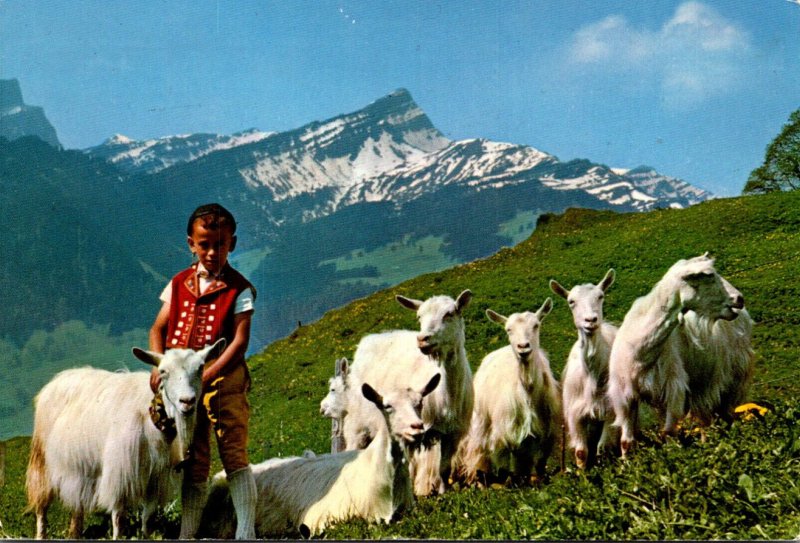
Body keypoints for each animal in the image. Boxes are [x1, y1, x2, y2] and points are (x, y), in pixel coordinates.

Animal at [26, 340, 223, 540]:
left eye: (200, 367)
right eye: (163, 371)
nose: (187, 401)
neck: (151, 419)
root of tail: (56, 379)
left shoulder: (156, 478)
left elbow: (149, 518)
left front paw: (146, 535)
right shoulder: (120, 475)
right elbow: (119, 518)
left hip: (81, 467)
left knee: (77, 504)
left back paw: (75, 533)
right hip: (42, 461)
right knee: (42, 504)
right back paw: (41, 534)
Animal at [342, 294, 476, 498]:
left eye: (449, 314)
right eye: (419, 317)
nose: (422, 339)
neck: (447, 393)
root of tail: (370, 339)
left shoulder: (452, 433)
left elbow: (444, 468)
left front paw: (443, 492)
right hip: (358, 423)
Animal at [454, 300, 560, 486]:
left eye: (536, 325)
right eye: (508, 329)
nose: (523, 347)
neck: (528, 392)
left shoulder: (546, 434)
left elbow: (536, 465)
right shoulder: (503, 433)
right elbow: (504, 467)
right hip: (483, 419)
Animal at [552, 270, 620, 470]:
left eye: (600, 296)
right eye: (571, 301)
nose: (591, 320)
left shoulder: (610, 409)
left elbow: (603, 449)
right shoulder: (576, 414)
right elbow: (581, 452)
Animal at [608, 255, 748, 454]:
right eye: (709, 276)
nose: (739, 298)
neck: (640, 353)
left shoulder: (674, 390)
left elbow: (668, 433)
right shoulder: (625, 397)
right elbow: (627, 442)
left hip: (729, 379)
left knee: (722, 414)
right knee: (705, 419)